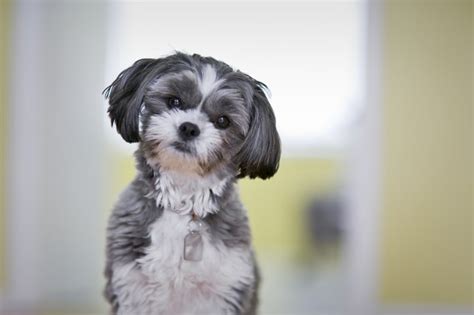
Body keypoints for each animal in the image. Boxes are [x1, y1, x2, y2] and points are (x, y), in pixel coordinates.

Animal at [103, 52, 280, 315]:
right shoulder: (131, 288)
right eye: (174, 101)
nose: (189, 127)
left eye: (223, 121)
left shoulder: (226, 289)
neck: (183, 203)